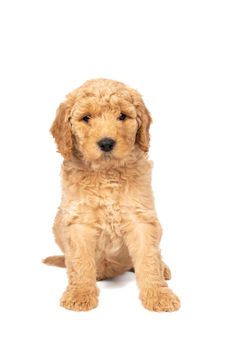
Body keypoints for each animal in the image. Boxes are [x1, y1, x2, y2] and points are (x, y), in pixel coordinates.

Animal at [44, 78, 182, 312]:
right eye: (86, 118)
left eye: (122, 116)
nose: (106, 143)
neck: (106, 173)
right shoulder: (78, 221)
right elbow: (80, 261)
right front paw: (80, 293)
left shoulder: (141, 218)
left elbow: (149, 258)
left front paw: (158, 295)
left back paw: (163, 268)